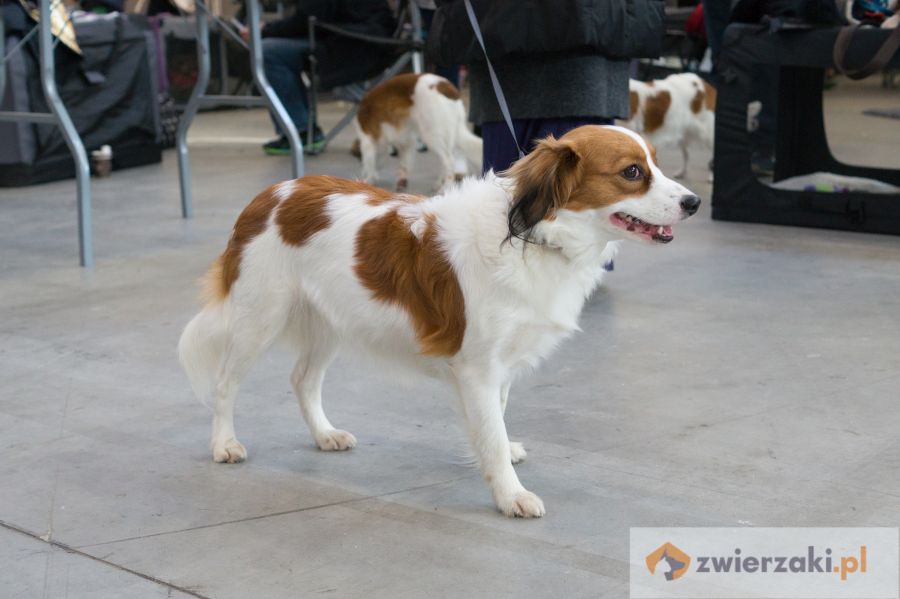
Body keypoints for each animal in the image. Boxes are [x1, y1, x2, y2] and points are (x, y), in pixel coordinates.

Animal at [179, 124, 700, 516]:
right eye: (633, 172)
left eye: (656, 163)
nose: (694, 202)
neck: (536, 234)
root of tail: (275, 191)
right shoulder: (478, 368)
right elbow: (491, 432)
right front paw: (510, 495)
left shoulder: (498, 366)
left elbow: (496, 420)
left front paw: (498, 456)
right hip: (259, 318)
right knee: (225, 384)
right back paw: (224, 443)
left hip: (331, 320)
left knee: (303, 380)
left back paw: (325, 435)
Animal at [352, 72, 482, 192]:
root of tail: (446, 87)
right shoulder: (406, 140)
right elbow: (403, 163)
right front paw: (401, 180)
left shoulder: (367, 140)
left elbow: (370, 163)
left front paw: (368, 180)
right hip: (449, 134)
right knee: (447, 159)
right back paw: (439, 183)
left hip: (432, 134)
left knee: (448, 160)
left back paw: (445, 188)